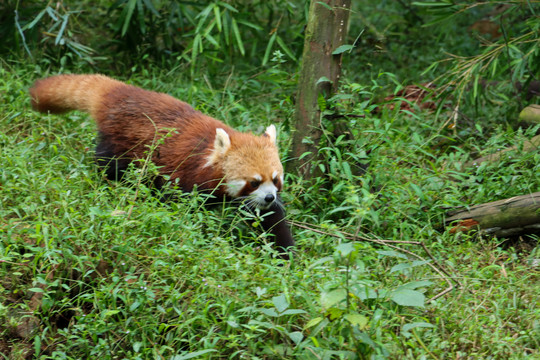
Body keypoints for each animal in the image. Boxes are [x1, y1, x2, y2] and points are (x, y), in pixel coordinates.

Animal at [29, 74, 296, 258]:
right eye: (253, 182)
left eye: (275, 179)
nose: (270, 197)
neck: (209, 161)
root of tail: (118, 91)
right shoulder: (186, 176)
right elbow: (180, 206)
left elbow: (272, 220)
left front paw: (285, 254)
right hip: (119, 144)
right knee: (110, 166)